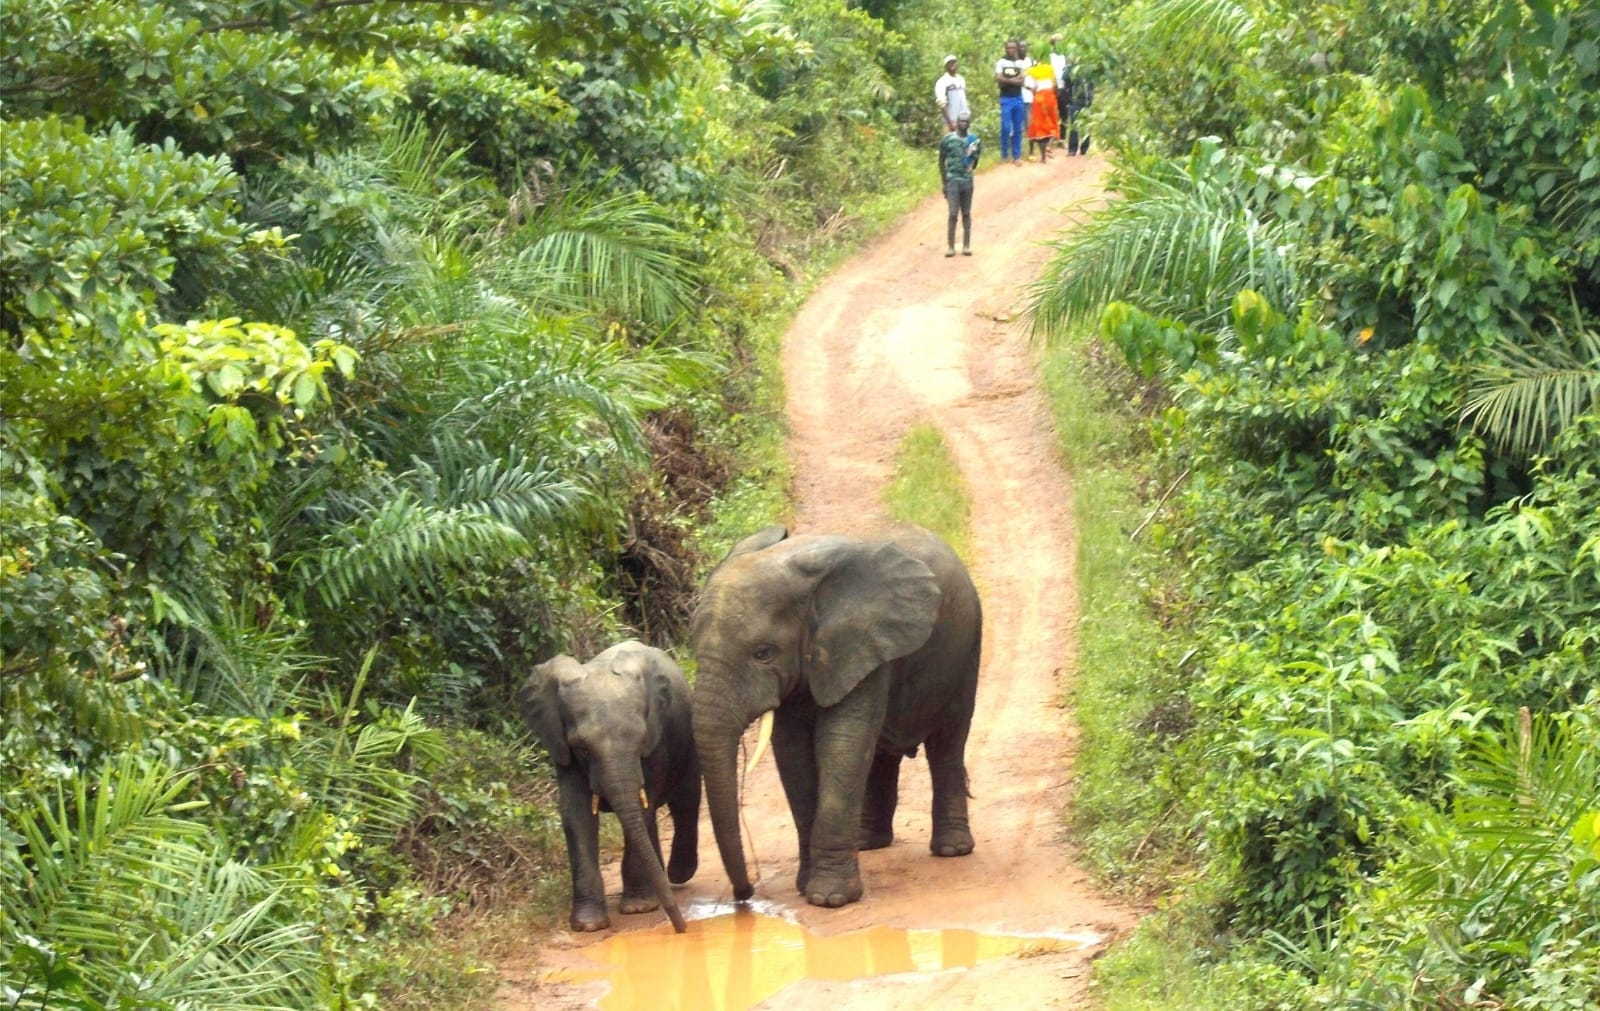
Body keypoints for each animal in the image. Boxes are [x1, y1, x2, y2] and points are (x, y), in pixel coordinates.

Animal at [517, 640, 700, 933]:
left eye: (640, 741)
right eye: (583, 749)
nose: (681, 929)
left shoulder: (656, 741)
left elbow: (643, 804)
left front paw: (638, 909)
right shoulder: (563, 748)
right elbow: (576, 814)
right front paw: (588, 925)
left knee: (685, 802)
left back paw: (676, 876)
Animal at [689, 523, 982, 909]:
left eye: (763, 653)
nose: (745, 894)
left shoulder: (862, 641)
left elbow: (841, 744)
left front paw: (830, 898)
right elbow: (794, 755)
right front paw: (806, 887)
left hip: (966, 647)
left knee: (947, 743)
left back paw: (953, 849)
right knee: (881, 753)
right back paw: (867, 843)